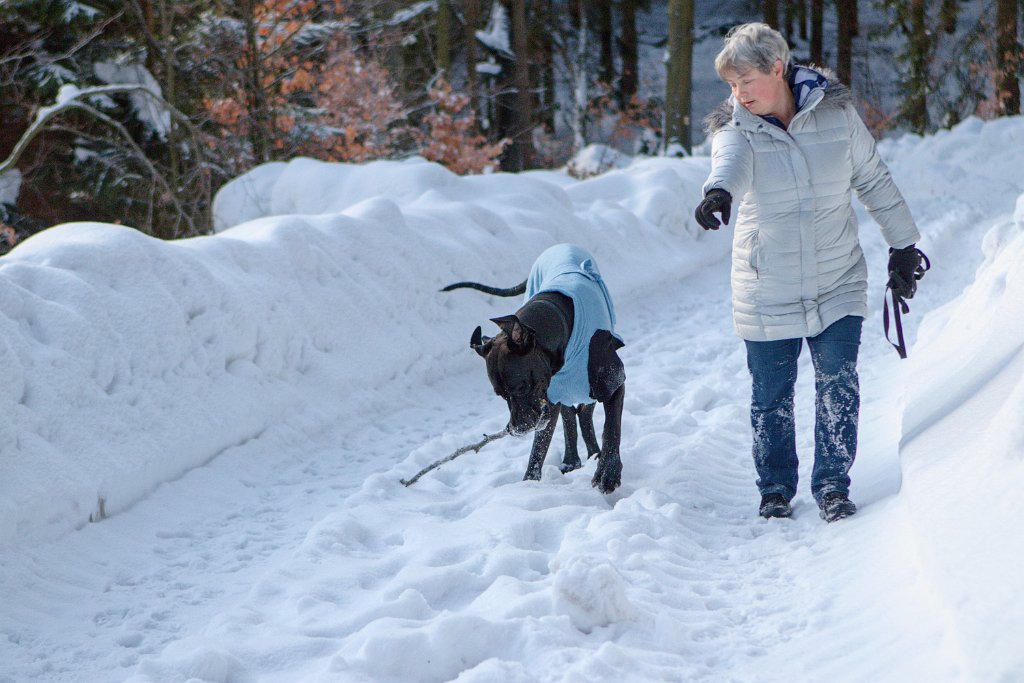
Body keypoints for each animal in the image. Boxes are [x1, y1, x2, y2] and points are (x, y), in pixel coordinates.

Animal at [446, 242, 626, 493]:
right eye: (501, 395)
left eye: (521, 388)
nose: (517, 429)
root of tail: (561, 245)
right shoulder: (549, 401)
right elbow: (540, 447)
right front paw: (528, 483)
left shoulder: (613, 382)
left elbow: (611, 428)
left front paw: (608, 472)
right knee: (571, 416)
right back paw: (572, 460)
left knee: (584, 412)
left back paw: (593, 454)